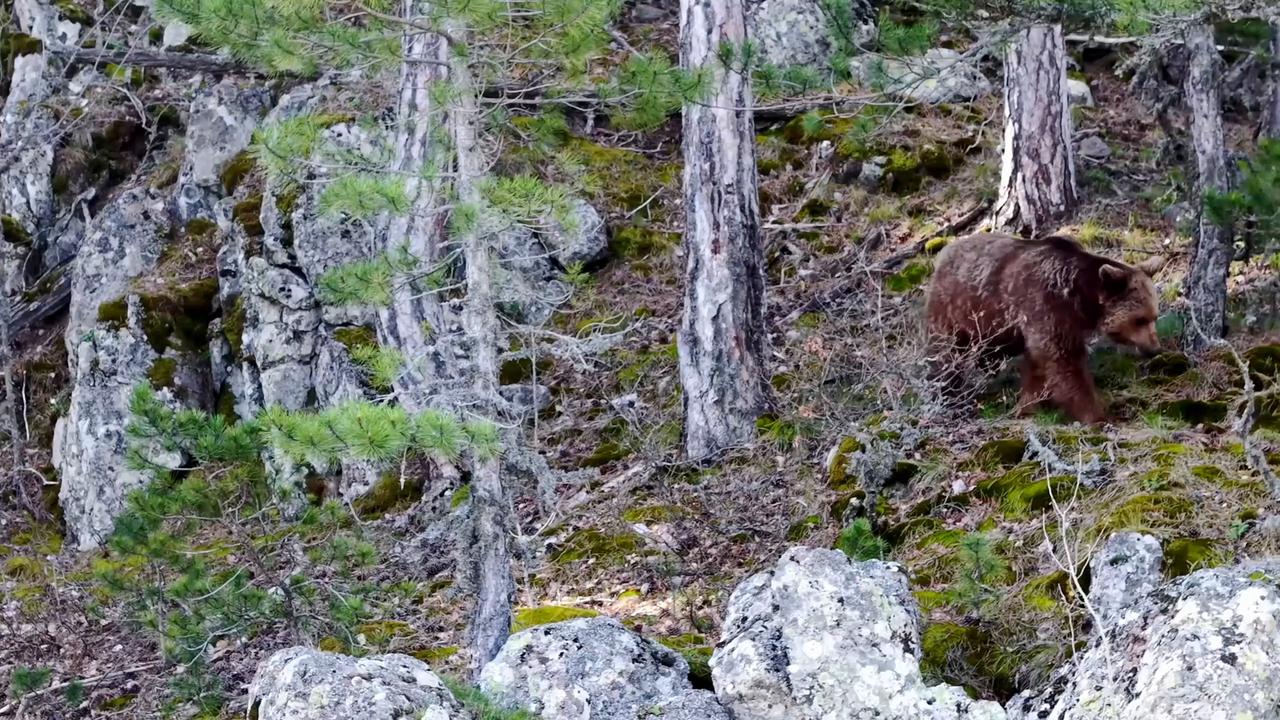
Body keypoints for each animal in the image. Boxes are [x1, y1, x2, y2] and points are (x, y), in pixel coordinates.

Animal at [924, 232, 1166, 424]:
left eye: (1154, 316)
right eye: (1140, 319)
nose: (1155, 348)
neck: (1079, 298)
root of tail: (944, 252)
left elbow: (1038, 366)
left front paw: (1027, 406)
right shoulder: (1045, 306)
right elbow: (1063, 362)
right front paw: (1098, 415)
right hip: (955, 307)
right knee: (945, 353)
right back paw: (948, 392)